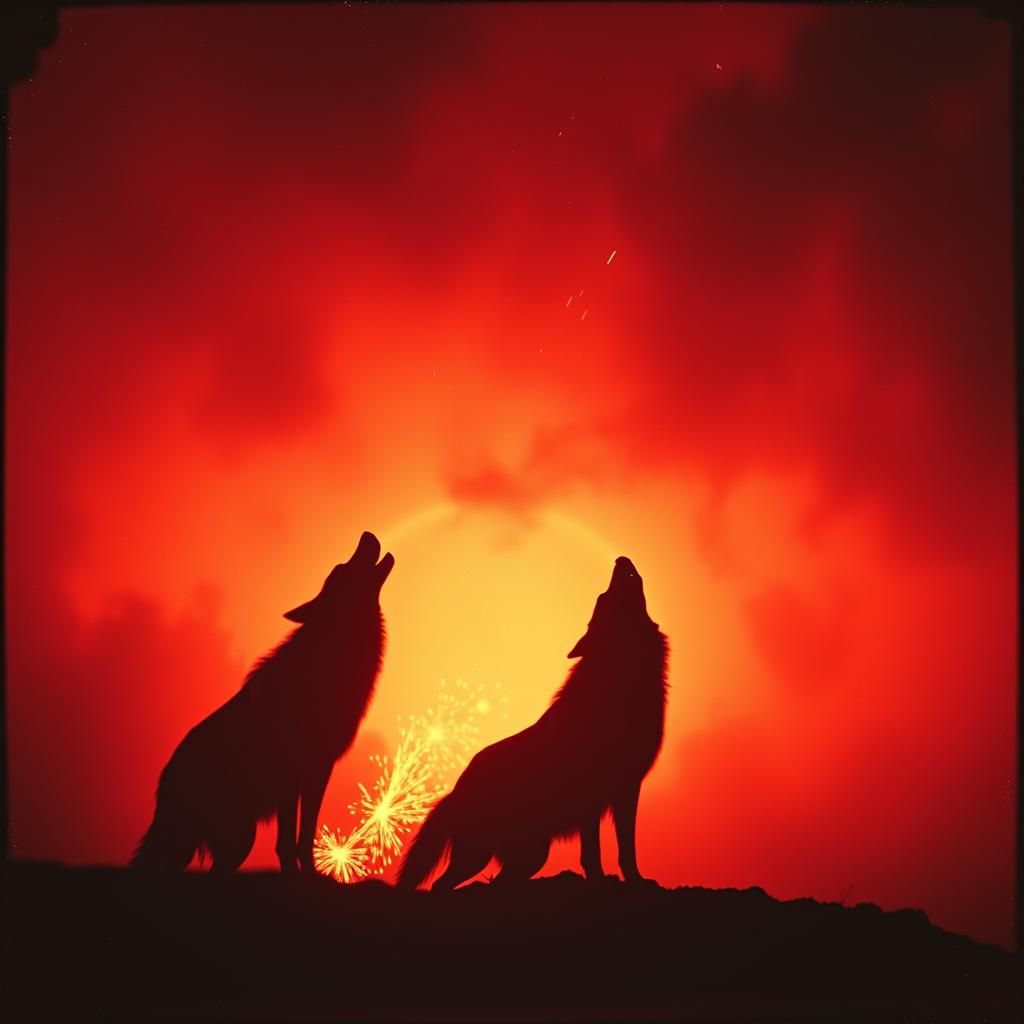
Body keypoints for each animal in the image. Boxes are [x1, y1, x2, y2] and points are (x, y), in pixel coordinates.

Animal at [133, 531, 394, 874]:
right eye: (341, 569)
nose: (367, 535)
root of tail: (161, 789)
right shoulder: (302, 773)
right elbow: (294, 840)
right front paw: (303, 875)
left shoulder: (311, 772)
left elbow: (296, 838)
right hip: (232, 839)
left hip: (229, 844)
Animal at [398, 556, 668, 890]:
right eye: (604, 598)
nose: (620, 559)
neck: (618, 681)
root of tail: (454, 791)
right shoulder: (592, 796)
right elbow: (594, 852)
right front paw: (599, 880)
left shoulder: (627, 788)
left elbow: (626, 848)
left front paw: (635, 879)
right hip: (482, 854)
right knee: (441, 885)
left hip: (529, 856)